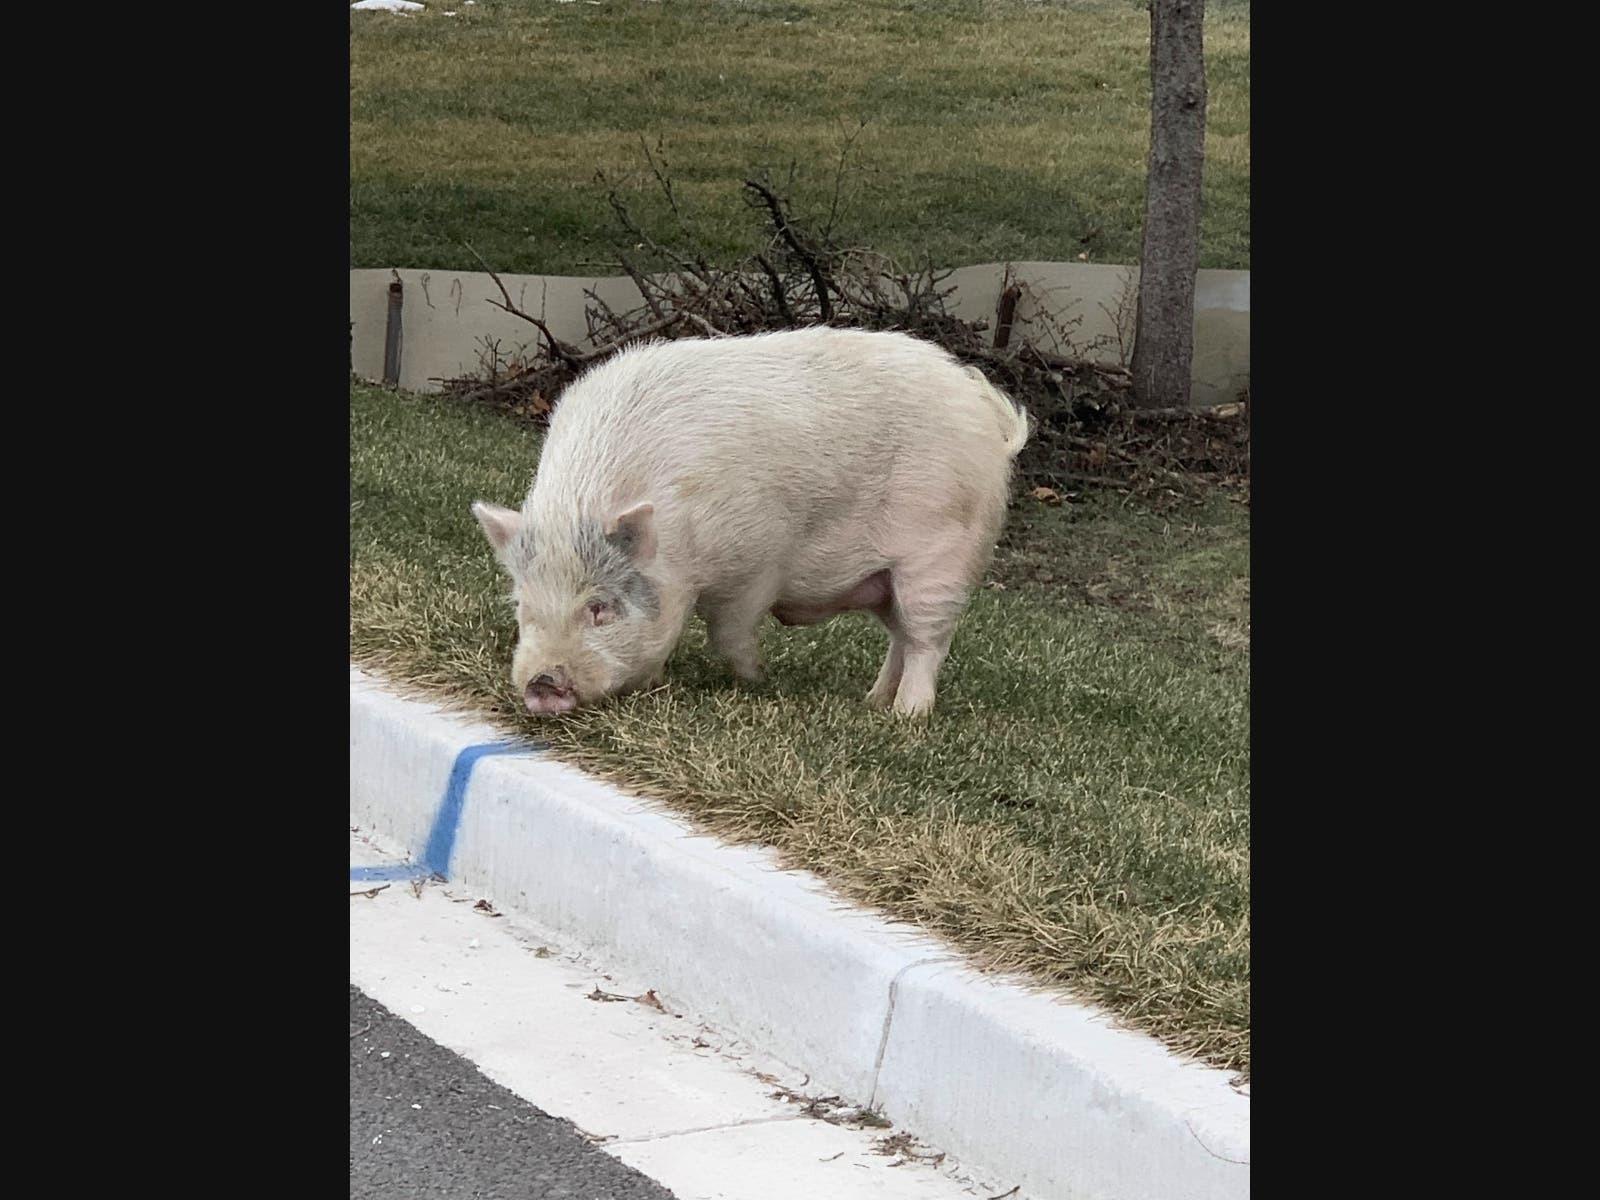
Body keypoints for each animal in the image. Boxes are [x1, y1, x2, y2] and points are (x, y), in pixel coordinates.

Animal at [471, 325, 1029, 719]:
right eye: (523, 606)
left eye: (600, 608)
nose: (541, 685)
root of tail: (990, 418)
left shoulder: (757, 562)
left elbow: (730, 632)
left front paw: (756, 679)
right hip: (886, 581)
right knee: (899, 638)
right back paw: (872, 702)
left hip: (939, 561)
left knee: (927, 640)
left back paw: (907, 717)